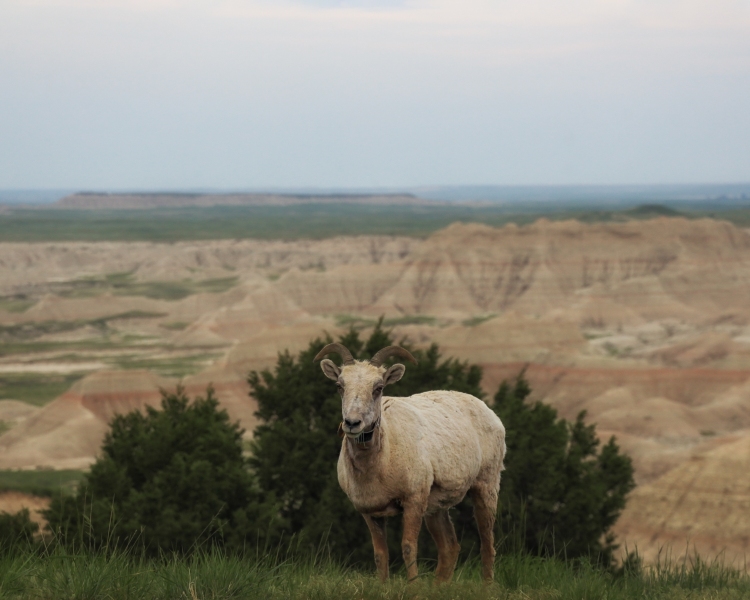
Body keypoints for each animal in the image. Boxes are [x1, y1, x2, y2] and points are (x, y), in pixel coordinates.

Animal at [314, 344, 508, 584]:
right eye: (340, 386)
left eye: (378, 388)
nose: (352, 423)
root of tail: (487, 409)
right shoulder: (370, 511)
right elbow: (380, 554)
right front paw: (383, 586)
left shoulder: (413, 500)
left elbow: (408, 547)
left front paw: (413, 586)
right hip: (436, 503)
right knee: (450, 547)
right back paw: (438, 587)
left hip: (486, 485)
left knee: (487, 544)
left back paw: (487, 586)